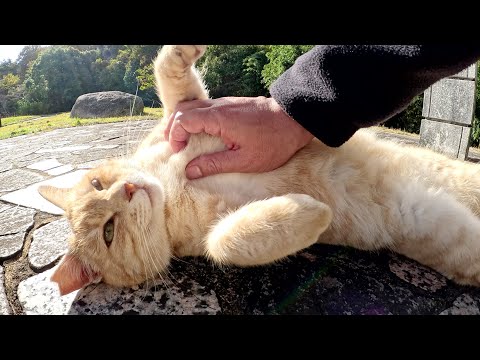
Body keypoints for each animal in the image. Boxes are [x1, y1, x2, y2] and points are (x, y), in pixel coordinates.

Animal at [39, 45, 480, 296]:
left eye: (98, 182)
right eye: (109, 232)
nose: (127, 191)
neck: (168, 186)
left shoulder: (187, 116)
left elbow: (171, 78)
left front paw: (183, 51)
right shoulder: (210, 237)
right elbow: (224, 243)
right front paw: (310, 211)